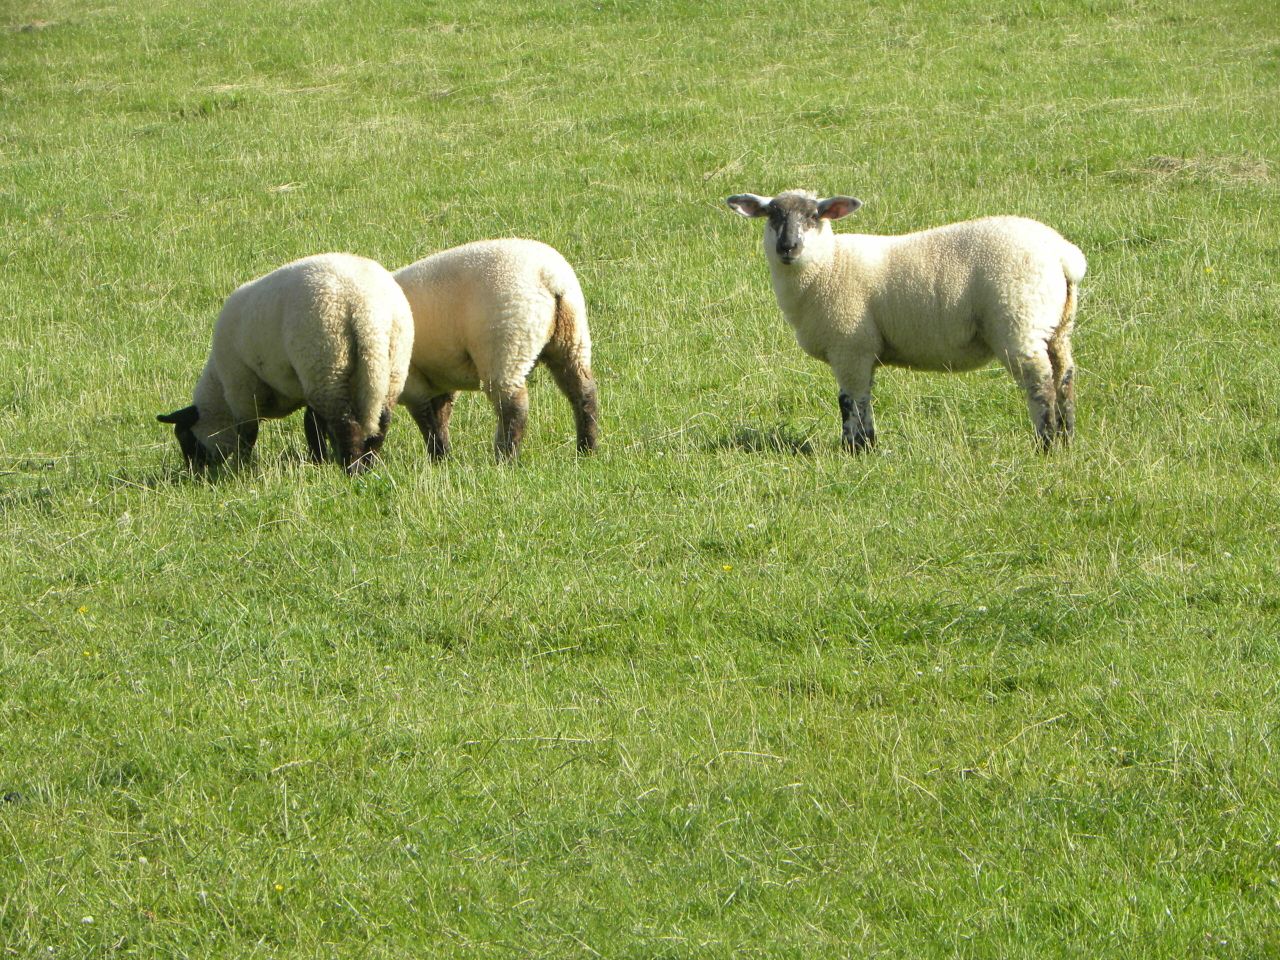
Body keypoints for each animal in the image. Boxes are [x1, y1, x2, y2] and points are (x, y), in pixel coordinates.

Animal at [157, 253, 414, 474]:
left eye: (185, 438)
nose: (193, 474)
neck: (219, 390)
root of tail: (365, 309)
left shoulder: (242, 387)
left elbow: (248, 434)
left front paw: (240, 468)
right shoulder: (305, 383)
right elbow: (312, 423)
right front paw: (319, 459)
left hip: (326, 363)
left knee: (345, 424)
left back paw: (353, 470)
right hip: (387, 367)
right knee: (380, 423)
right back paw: (369, 466)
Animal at [393, 238, 598, 461]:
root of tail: (549, 278)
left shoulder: (410, 381)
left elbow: (425, 420)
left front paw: (438, 456)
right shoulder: (439, 378)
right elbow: (440, 415)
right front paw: (443, 458)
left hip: (506, 347)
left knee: (514, 407)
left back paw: (505, 457)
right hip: (572, 340)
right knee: (583, 392)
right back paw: (587, 449)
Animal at [726, 191, 1087, 451]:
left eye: (814, 216)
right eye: (772, 215)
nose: (788, 246)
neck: (829, 265)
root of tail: (1063, 255)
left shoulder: (850, 347)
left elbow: (850, 400)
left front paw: (856, 448)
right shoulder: (860, 351)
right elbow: (861, 399)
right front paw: (865, 445)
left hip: (1018, 321)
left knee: (1040, 382)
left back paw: (1046, 444)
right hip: (1057, 325)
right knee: (1064, 375)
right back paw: (1067, 437)